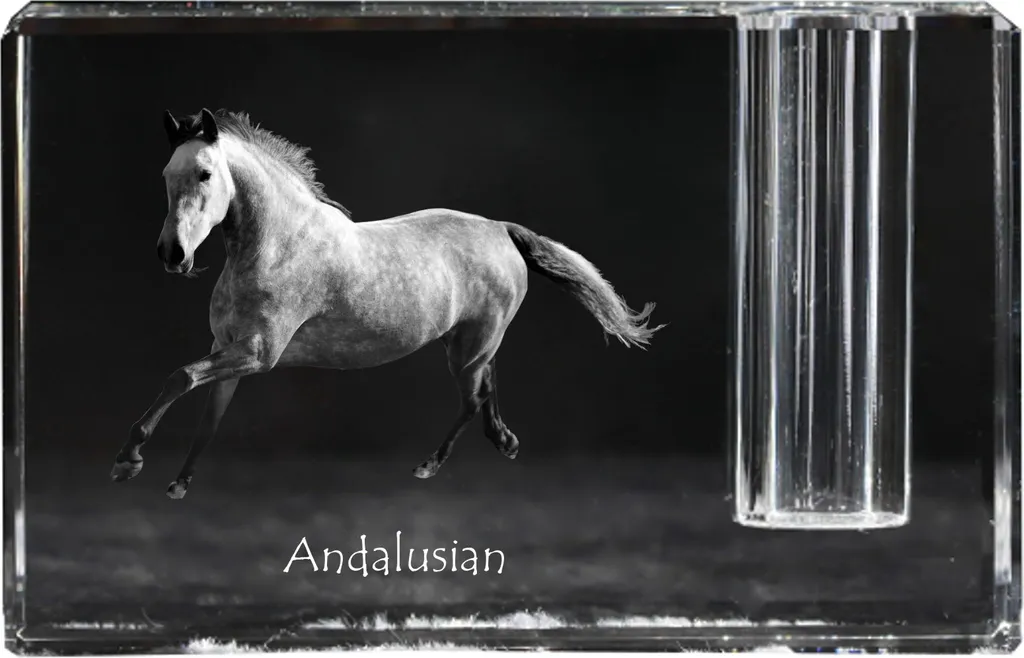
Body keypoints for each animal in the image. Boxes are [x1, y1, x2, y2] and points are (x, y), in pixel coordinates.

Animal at [110, 108, 665, 499]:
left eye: (204, 173)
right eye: (166, 173)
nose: (172, 254)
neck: (276, 246)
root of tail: (502, 229)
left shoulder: (257, 353)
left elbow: (179, 377)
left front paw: (128, 459)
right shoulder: (228, 349)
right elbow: (209, 415)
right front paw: (179, 482)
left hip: (468, 347)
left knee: (472, 398)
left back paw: (429, 465)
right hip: (470, 342)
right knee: (488, 384)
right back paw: (505, 441)